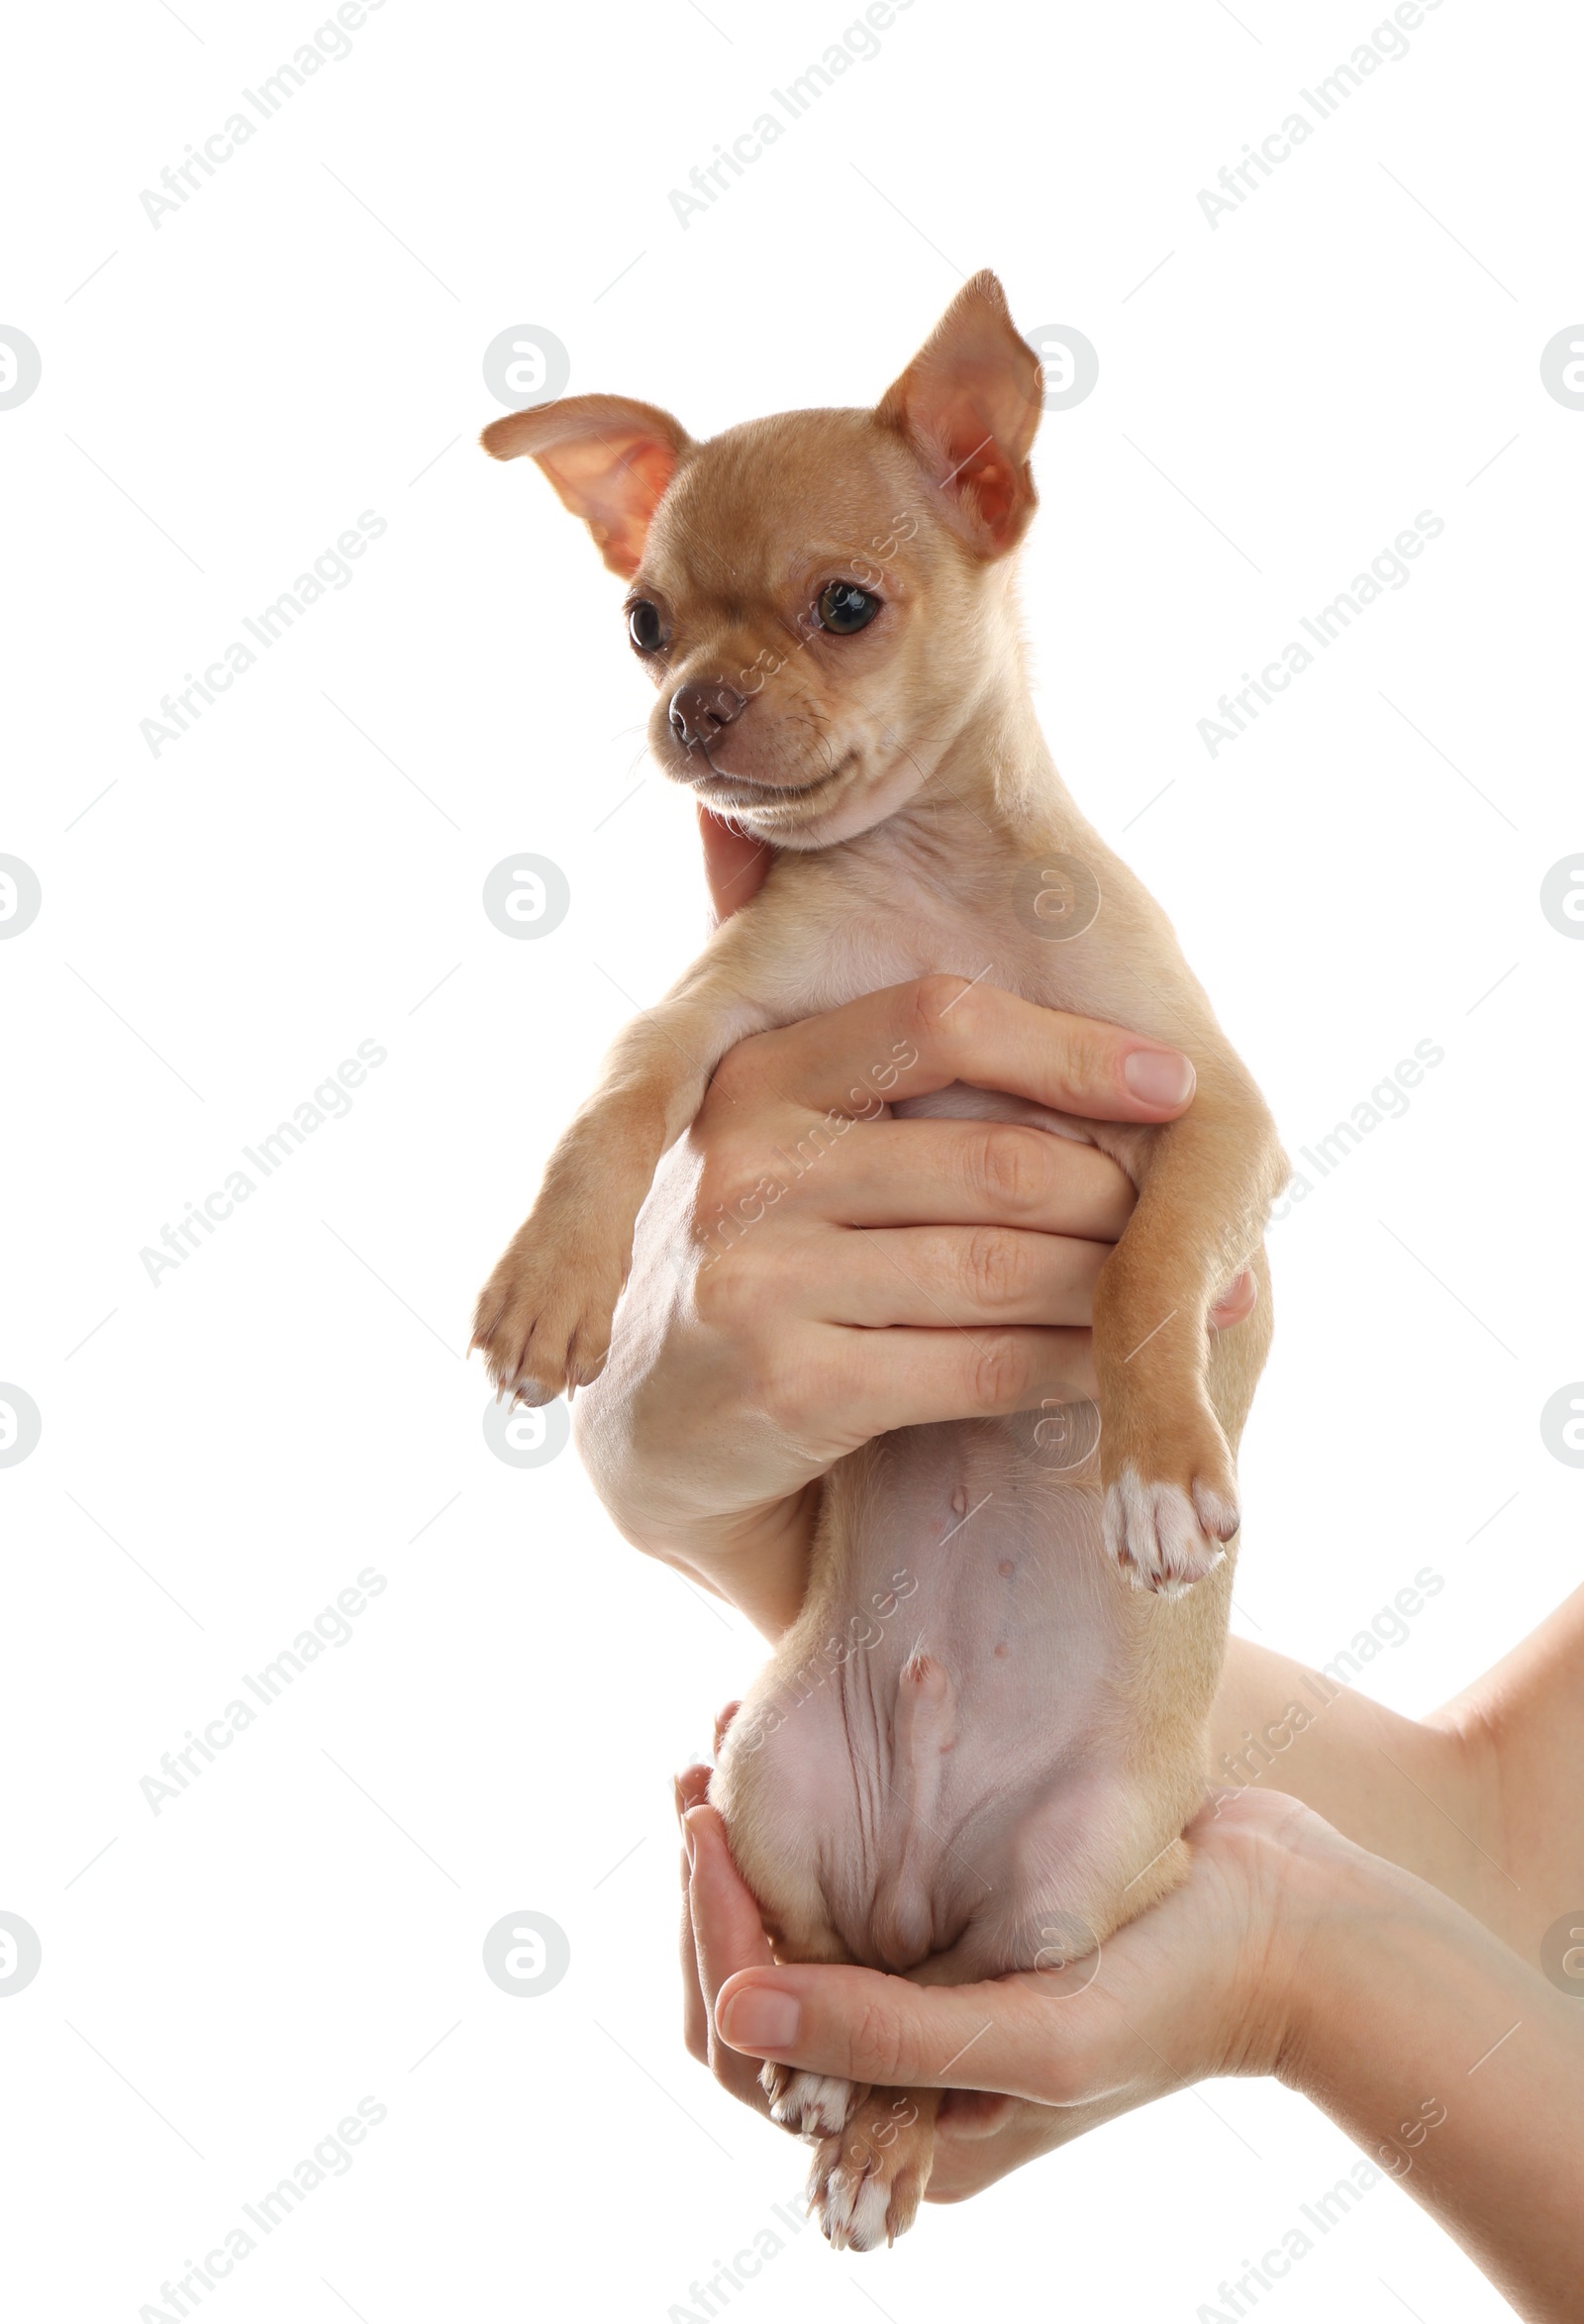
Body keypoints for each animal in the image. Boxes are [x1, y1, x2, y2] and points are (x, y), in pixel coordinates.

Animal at [468, 271, 1282, 2249]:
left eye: (847, 605)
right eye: (641, 623)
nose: (694, 704)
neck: (940, 886)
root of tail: (925, 1875)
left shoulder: (1213, 1116)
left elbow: (1150, 1265)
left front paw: (1157, 1465)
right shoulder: (713, 1023)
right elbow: (611, 1110)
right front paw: (555, 1284)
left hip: (1069, 1887)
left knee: (965, 2018)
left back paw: (887, 2115)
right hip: (773, 1785)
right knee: (846, 1973)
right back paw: (831, 2071)